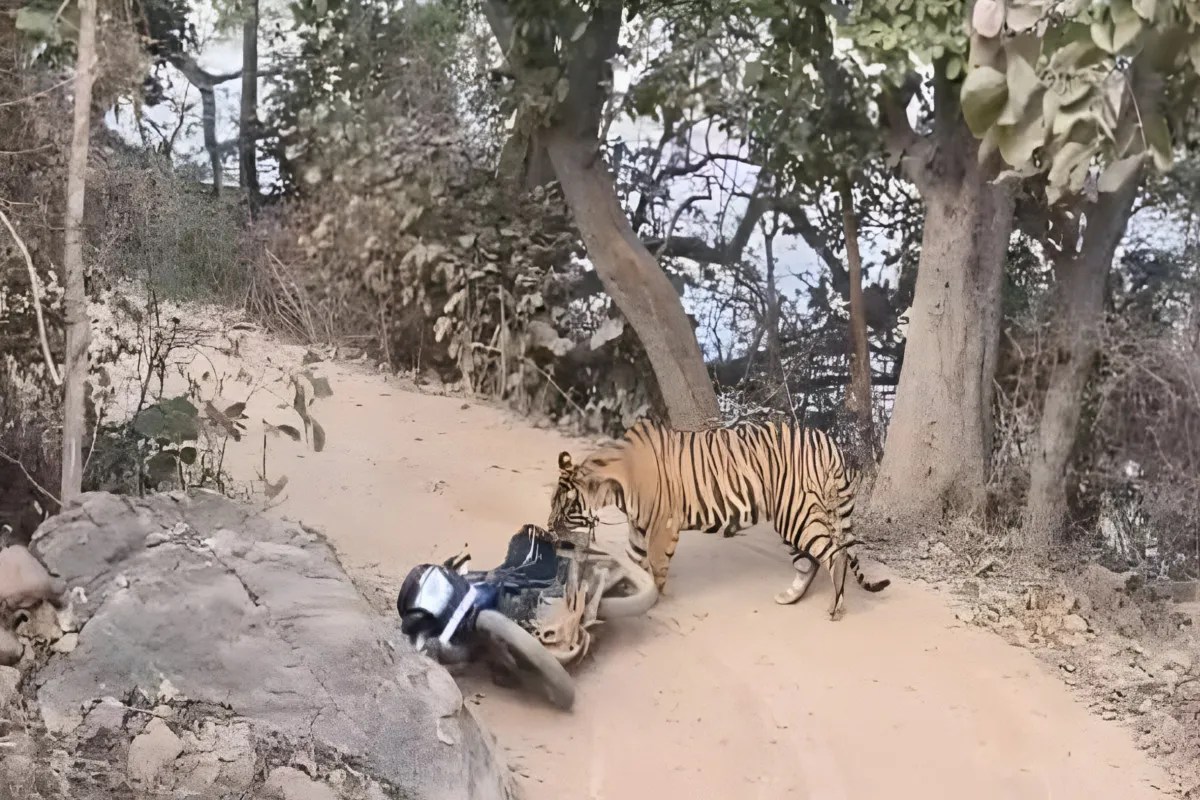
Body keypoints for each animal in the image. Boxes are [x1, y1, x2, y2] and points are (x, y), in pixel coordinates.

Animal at [547, 419, 890, 620]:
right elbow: (633, 562)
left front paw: (658, 601)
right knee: (812, 560)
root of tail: (828, 440)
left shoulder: (661, 527)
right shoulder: (638, 528)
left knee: (834, 554)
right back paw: (790, 597)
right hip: (795, 515)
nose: (549, 529)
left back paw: (835, 607)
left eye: (564, 507)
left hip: (797, 512)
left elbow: (656, 568)